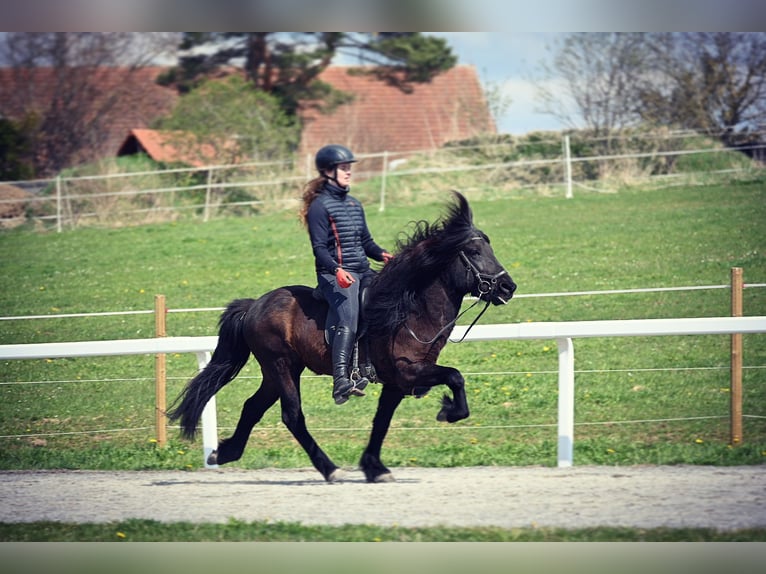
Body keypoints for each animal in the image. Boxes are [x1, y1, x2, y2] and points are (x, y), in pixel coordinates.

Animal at [167, 191, 517, 483]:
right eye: (473, 250)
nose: (508, 287)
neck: (409, 308)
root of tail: (255, 305)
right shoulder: (409, 372)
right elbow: (456, 377)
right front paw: (448, 411)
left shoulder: (396, 383)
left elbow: (381, 421)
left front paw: (374, 467)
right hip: (280, 365)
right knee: (292, 415)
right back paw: (329, 468)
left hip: (278, 371)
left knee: (253, 407)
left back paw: (225, 453)